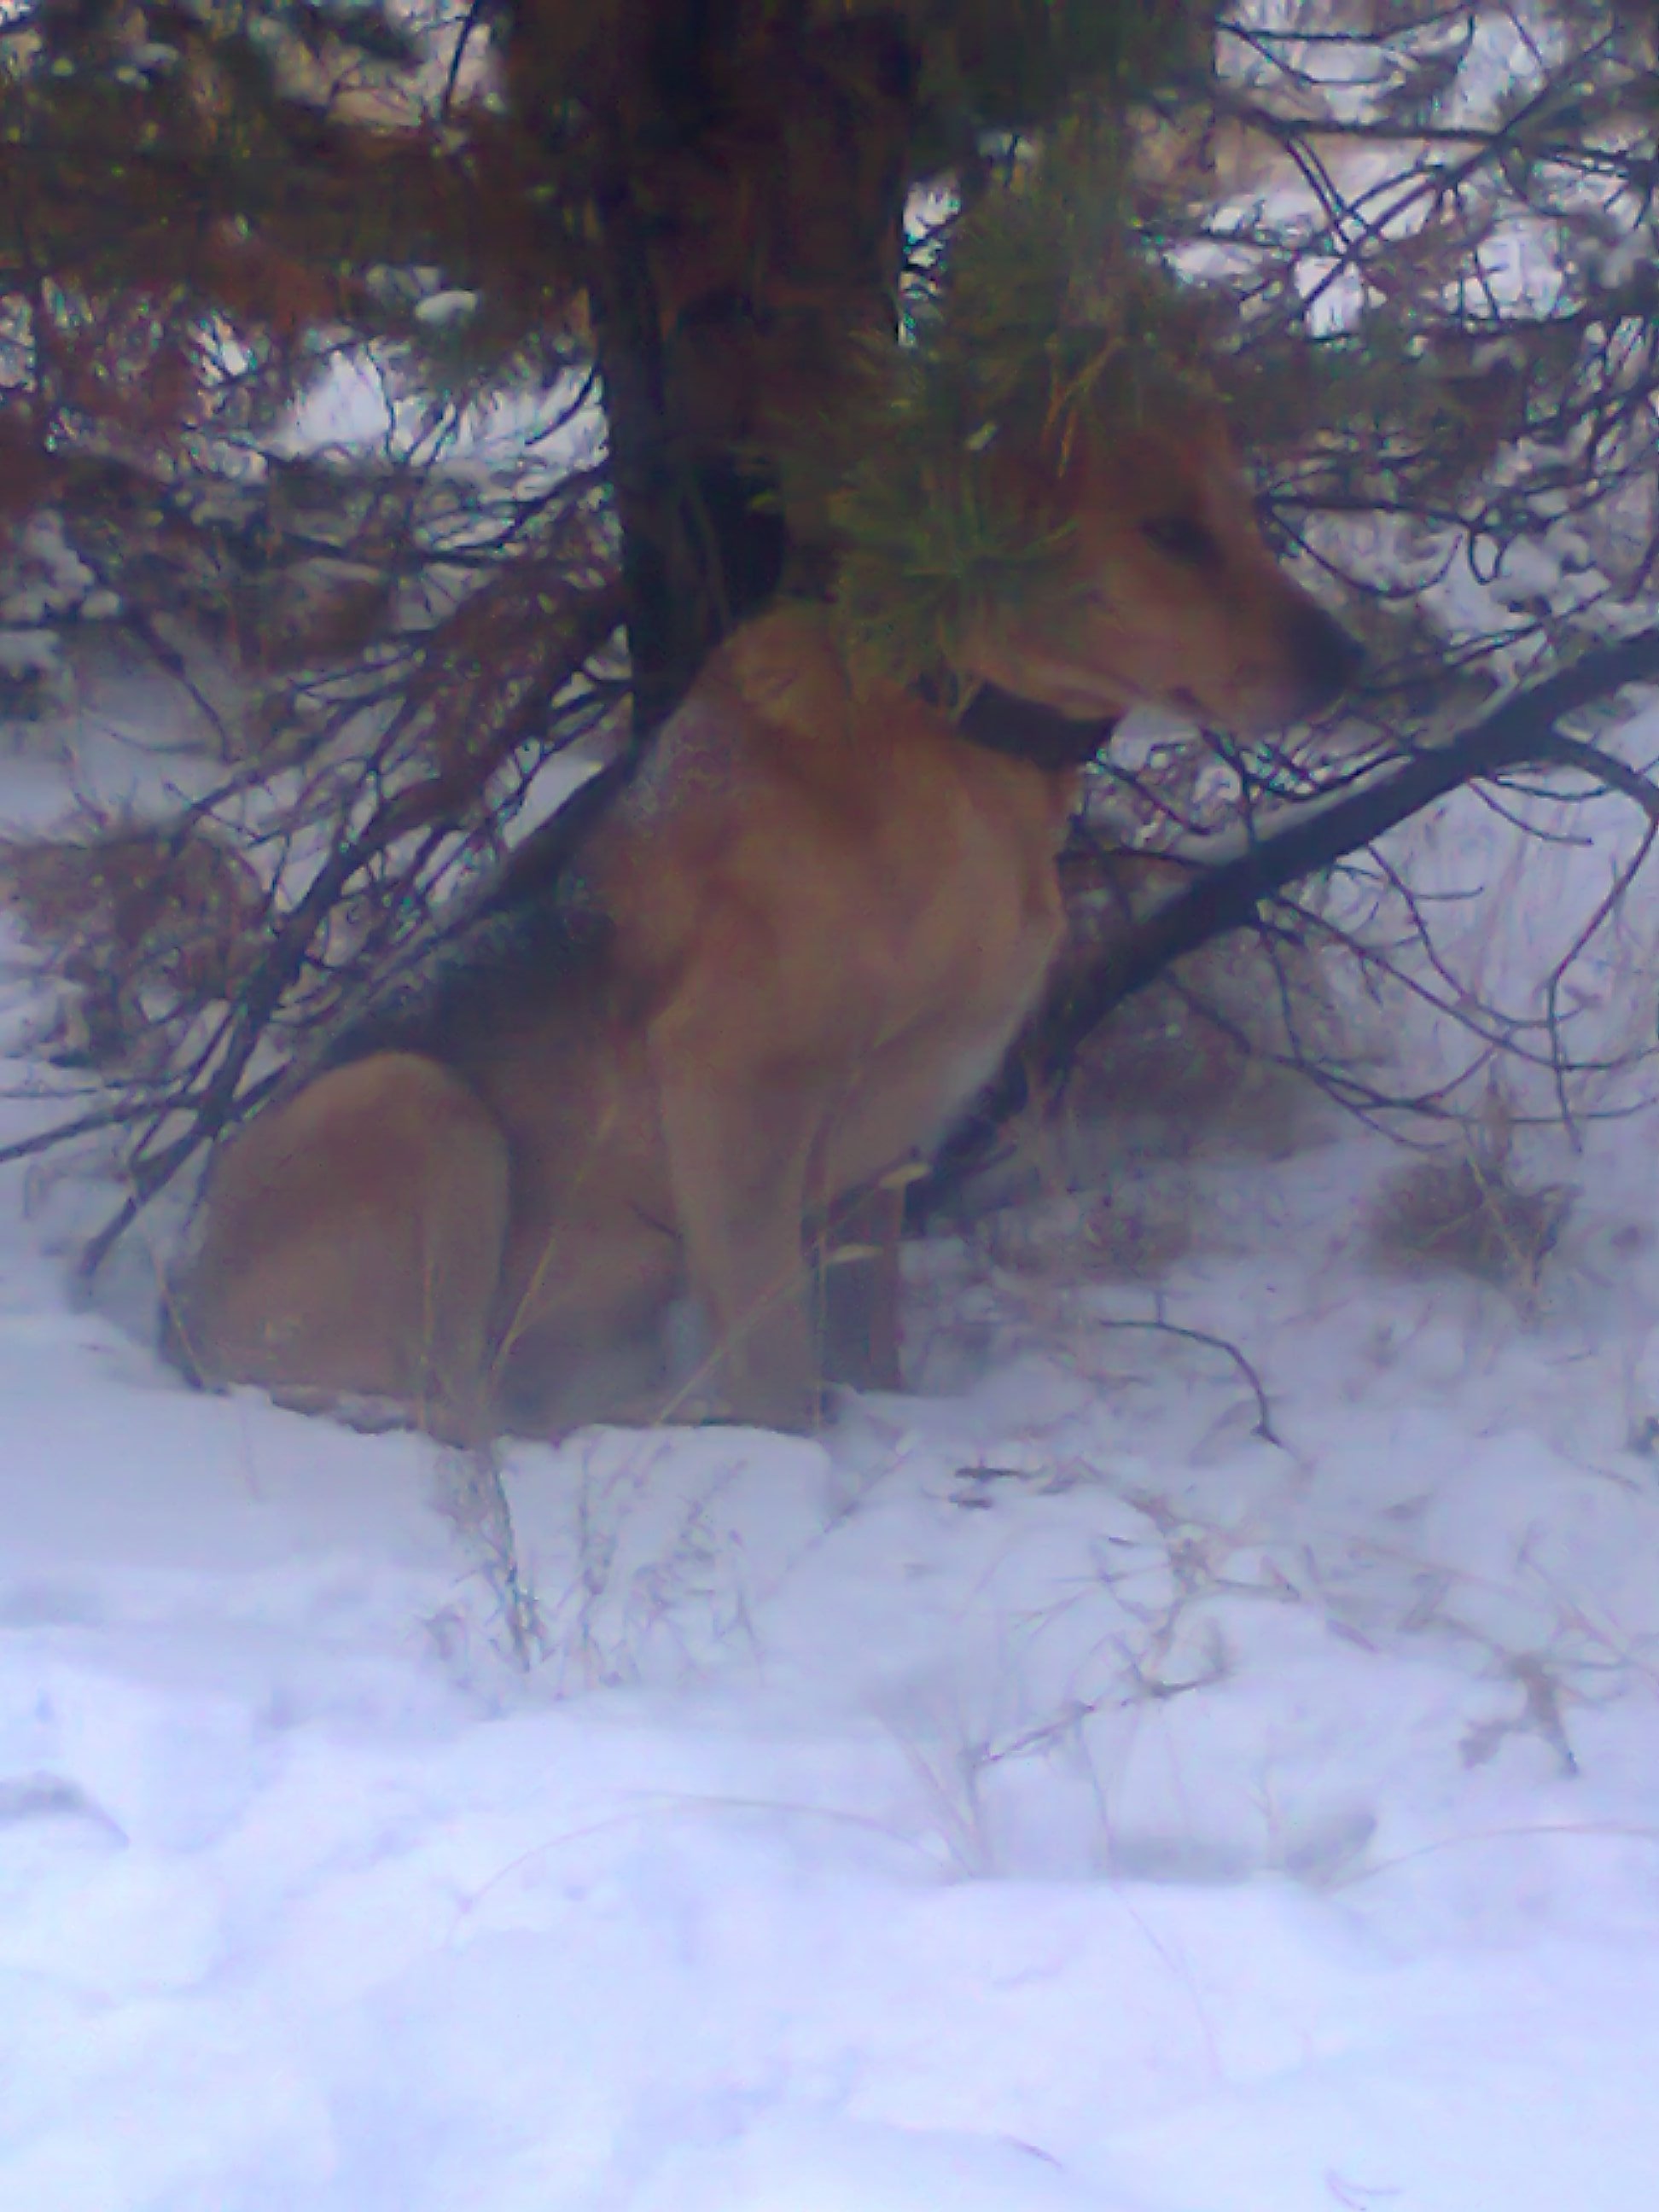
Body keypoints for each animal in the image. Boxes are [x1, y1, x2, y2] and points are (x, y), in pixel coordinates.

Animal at [165, 403, 1361, 1439]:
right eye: (1169, 532)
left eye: (1243, 514)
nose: (1356, 661)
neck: (955, 734)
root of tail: (181, 1317)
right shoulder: (734, 1101)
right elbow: (776, 1365)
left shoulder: (875, 1159)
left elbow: (864, 1344)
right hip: (417, 1106)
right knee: (442, 1413)